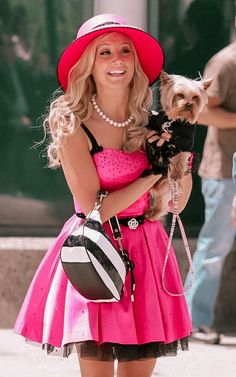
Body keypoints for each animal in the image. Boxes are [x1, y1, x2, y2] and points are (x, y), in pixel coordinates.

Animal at [146, 71, 212, 219]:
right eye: (180, 95)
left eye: (195, 97)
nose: (189, 104)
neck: (174, 124)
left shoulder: (185, 144)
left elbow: (181, 157)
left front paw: (176, 173)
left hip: (166, 187)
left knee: (162, 203)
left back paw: (152, 214)